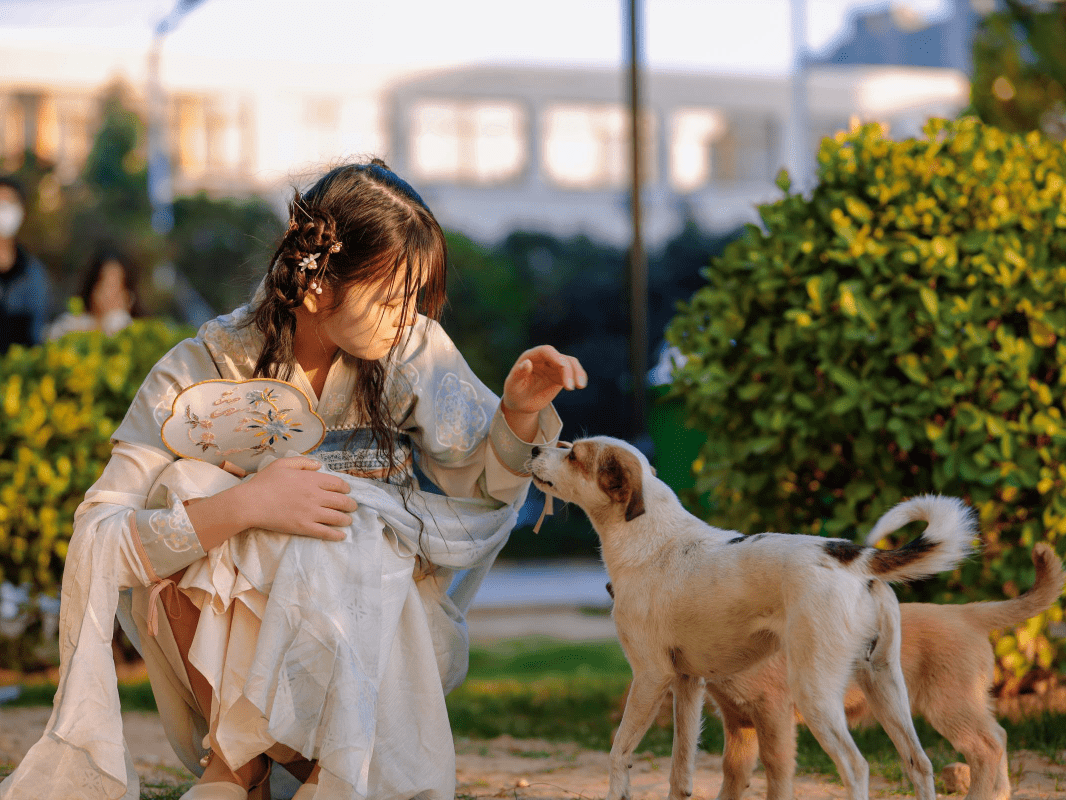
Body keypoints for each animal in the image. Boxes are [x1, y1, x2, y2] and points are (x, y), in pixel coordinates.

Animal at [528, 439, 976, 800]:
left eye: (574, 454)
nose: (533, 448)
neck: (650, 536)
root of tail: (854, 556)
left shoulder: (651, 676)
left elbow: (619, 753)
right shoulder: (687, 684)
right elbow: (680, 772)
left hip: (816, 695)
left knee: (856, 767)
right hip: (884, 683)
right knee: (919, 763)